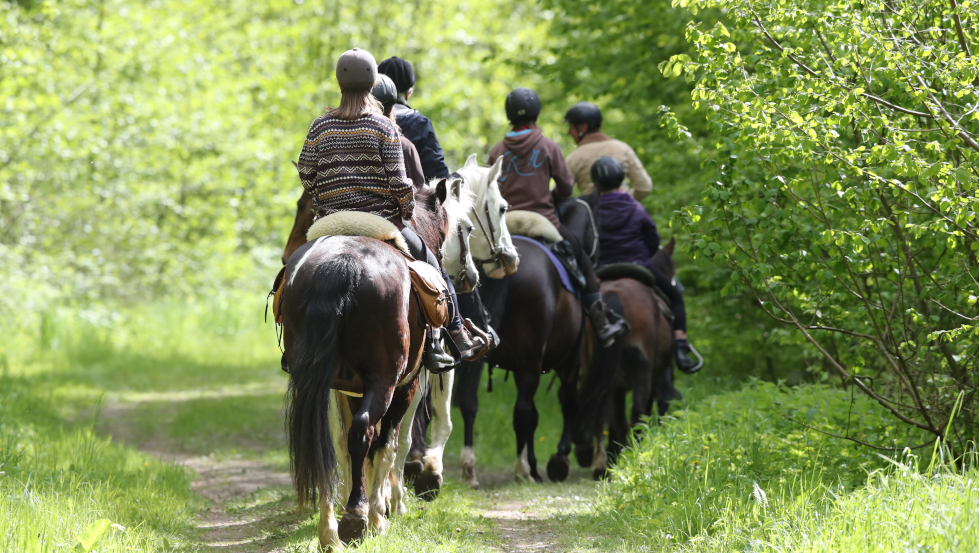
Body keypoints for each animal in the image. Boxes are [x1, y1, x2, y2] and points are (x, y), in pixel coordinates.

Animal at [279, 178, 475, 549]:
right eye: (463, 229)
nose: (471, 275)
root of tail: (341, 264)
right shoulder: (407, 384)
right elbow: (391, 445)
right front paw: (382, 511)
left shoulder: (343, 389)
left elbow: (346, 446)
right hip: (385, 380)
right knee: (365, 433)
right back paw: (357, 518)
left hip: (316, 382)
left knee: (327, 443)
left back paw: (329, 532)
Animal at [574, 238, 680, 480]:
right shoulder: (654, 377)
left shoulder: (617, 385)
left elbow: (615, 418)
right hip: (642, 371)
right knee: (638, 413)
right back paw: (635, 454)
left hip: (599, 372)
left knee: (600, 411)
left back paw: (602, 463)